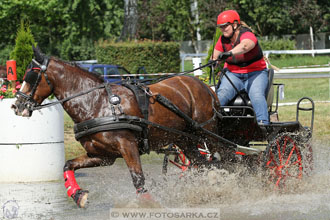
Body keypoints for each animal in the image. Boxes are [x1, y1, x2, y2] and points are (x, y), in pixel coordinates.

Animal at [10, 46, 224, 208]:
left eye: (31, 76)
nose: (17, 106)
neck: (97, 103)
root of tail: (206, 87)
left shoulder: (127, 145)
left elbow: (138, 179)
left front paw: (149, 205)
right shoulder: (103, 156)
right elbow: (68, 164)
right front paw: (78, 195)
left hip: (208, 133)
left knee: (224, 159)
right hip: (185, 138)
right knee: (201, 164)